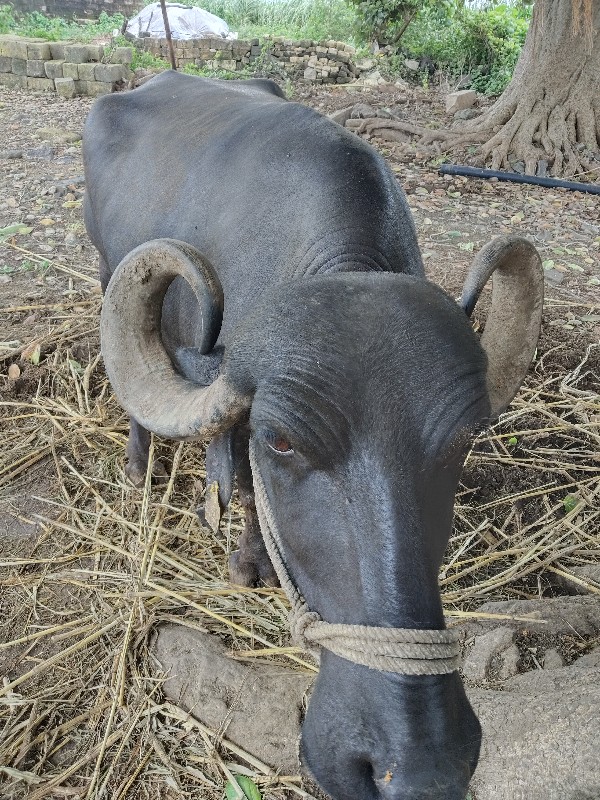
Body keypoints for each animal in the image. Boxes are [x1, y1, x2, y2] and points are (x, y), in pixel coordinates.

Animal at [83, 72, 544, 796]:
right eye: (281, 441)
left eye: (464, 440)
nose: (420, 764)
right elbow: (242, 482)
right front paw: (248, 560)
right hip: (109, 270)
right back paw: (139, 468)